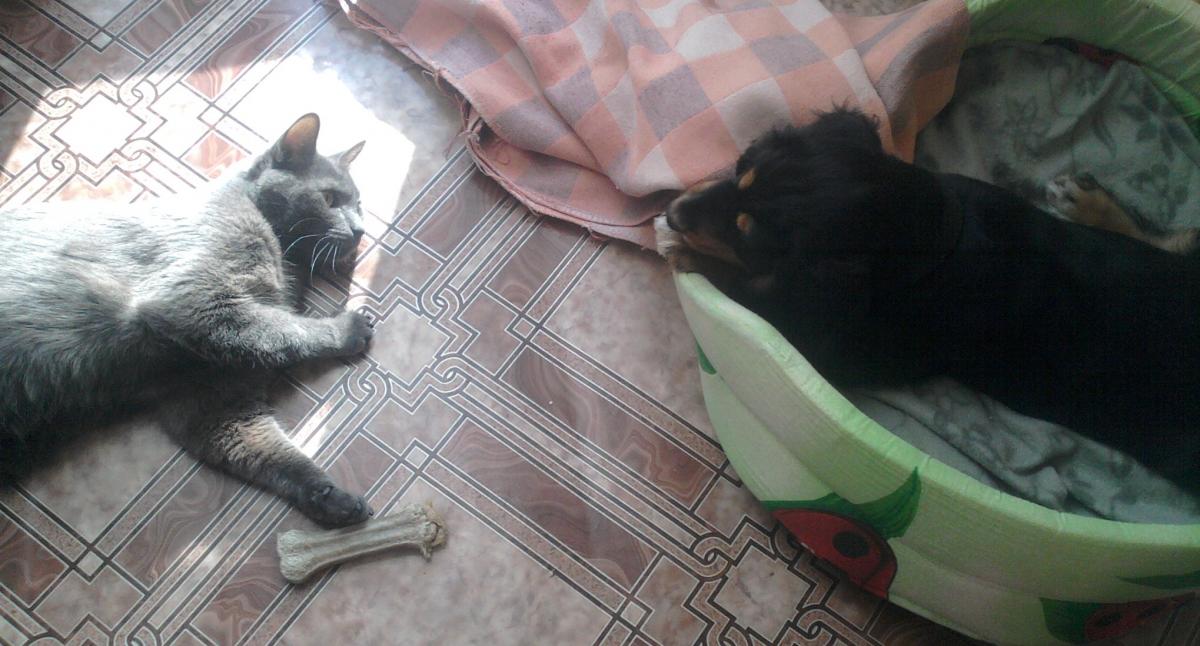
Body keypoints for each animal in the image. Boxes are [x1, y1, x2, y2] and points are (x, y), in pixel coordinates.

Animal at [0, 114, 379, 527]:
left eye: (360, 204)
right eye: (330, 199)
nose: (360, 229)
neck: (286, 261)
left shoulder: (214, 399)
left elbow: (274, 454)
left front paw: (331, 497)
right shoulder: (197, 303)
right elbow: (287, 329)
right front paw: (350, 328)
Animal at [656, 108, 1200, 489]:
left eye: (746, 234)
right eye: (741, 171)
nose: (674, 211)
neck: (941, 239)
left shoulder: (845, 347)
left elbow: (764, 299)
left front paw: (687, 252)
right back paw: (1088, 203)